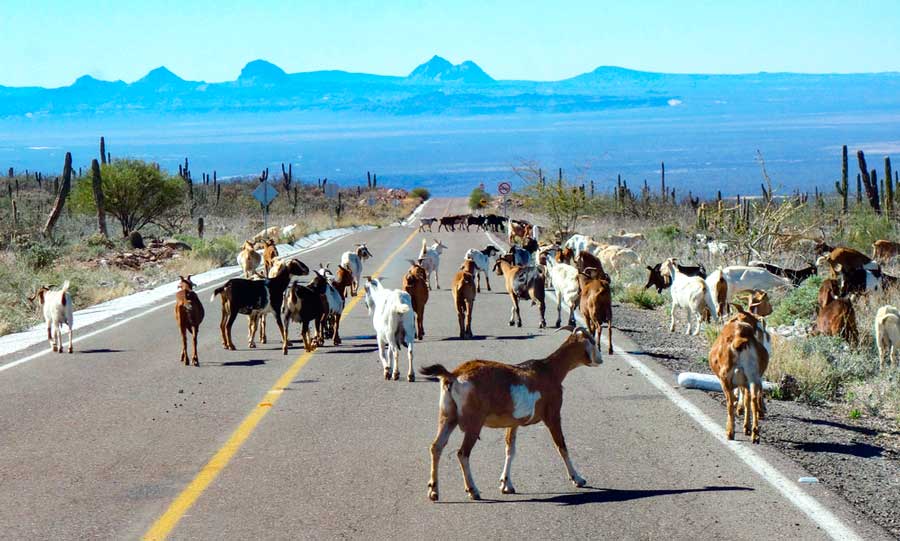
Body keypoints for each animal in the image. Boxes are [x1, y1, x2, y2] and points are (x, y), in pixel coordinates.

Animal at [420, 327, 601, 501]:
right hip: (474, 422)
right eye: (592, 341)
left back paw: (433, 491)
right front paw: (578, 479)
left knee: (436, 447)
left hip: (447, 416)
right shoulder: (553, 414)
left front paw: (506, 485)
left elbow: (510, 449)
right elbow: (561, 446)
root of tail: (454, 375)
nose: (600, 359)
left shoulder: (513, 423)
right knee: (462, 453)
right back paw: (473, 491)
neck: (550, 371)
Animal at [708, 304, 769, 443]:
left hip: (726, 378)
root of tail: (740, 340)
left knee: (730, 403)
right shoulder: (745, 382)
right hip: (753, 377)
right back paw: (755, 434)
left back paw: (730, 432)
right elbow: (746, 400)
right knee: (753, 400)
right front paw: (746, 427)